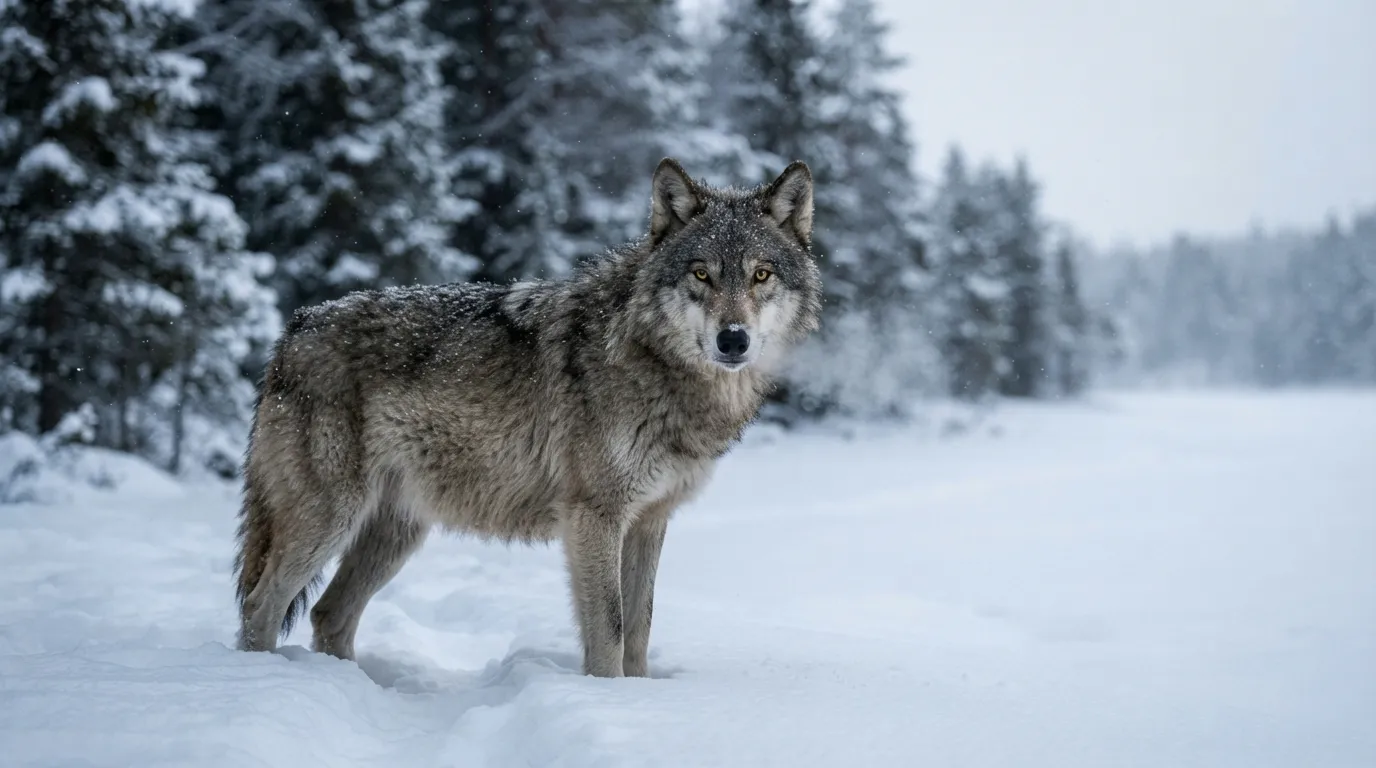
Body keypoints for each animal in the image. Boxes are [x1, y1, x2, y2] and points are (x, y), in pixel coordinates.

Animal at [233, 158, 822, 677]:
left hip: (396, 531)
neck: (653, 363)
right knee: (260, 606)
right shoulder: (595, 516)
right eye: (702, 273)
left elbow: (640, 631)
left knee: (327, 614)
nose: (733, 339)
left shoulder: (650, 520)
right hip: (329, 518)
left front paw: (639, 699)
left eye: (761, 274)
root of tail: (294, 328)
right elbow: (610, 632)